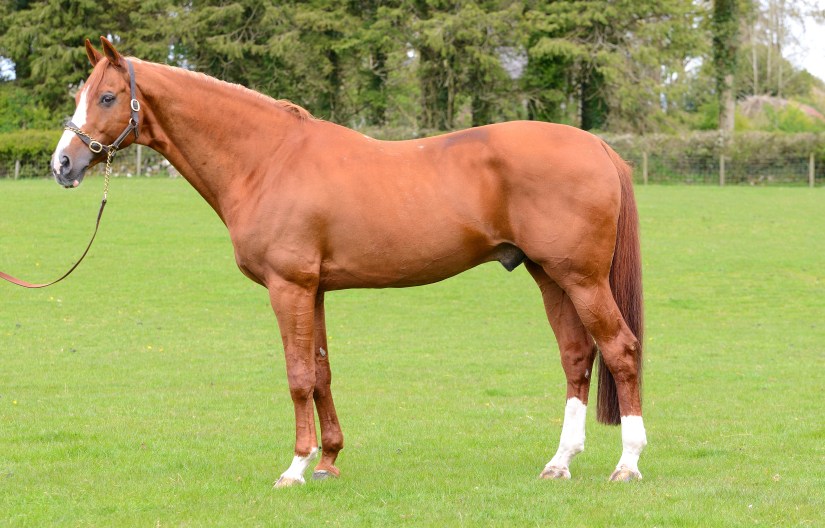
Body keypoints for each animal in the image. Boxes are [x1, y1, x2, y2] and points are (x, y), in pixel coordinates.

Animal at [51, 37, 646, 486]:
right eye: (81, 94)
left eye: (108, 97)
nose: (62, 164)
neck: (267, 160)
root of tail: (598, 146)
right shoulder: (313, 289)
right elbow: (321, 372)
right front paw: (329, 460)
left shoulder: (288, 287)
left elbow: (296, 375)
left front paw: (295, 467)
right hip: (550, 276)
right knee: (576, 357)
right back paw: (559, 462)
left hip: (582, 279)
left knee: (620, 350)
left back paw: (627, 464)